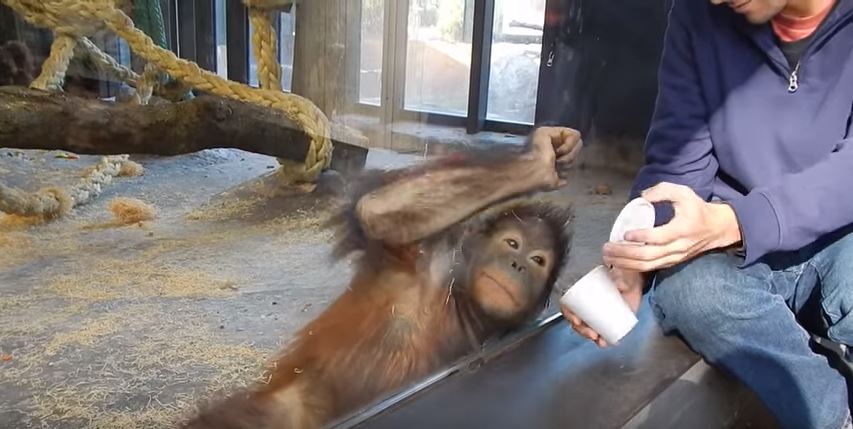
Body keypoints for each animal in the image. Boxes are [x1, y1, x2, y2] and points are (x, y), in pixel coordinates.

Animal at [181, 127, 583, 429]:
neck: (462, 309)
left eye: (537, 260)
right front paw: (539, 161)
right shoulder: (420, 266)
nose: (517, 265)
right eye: (511, 243)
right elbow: (378, 212)